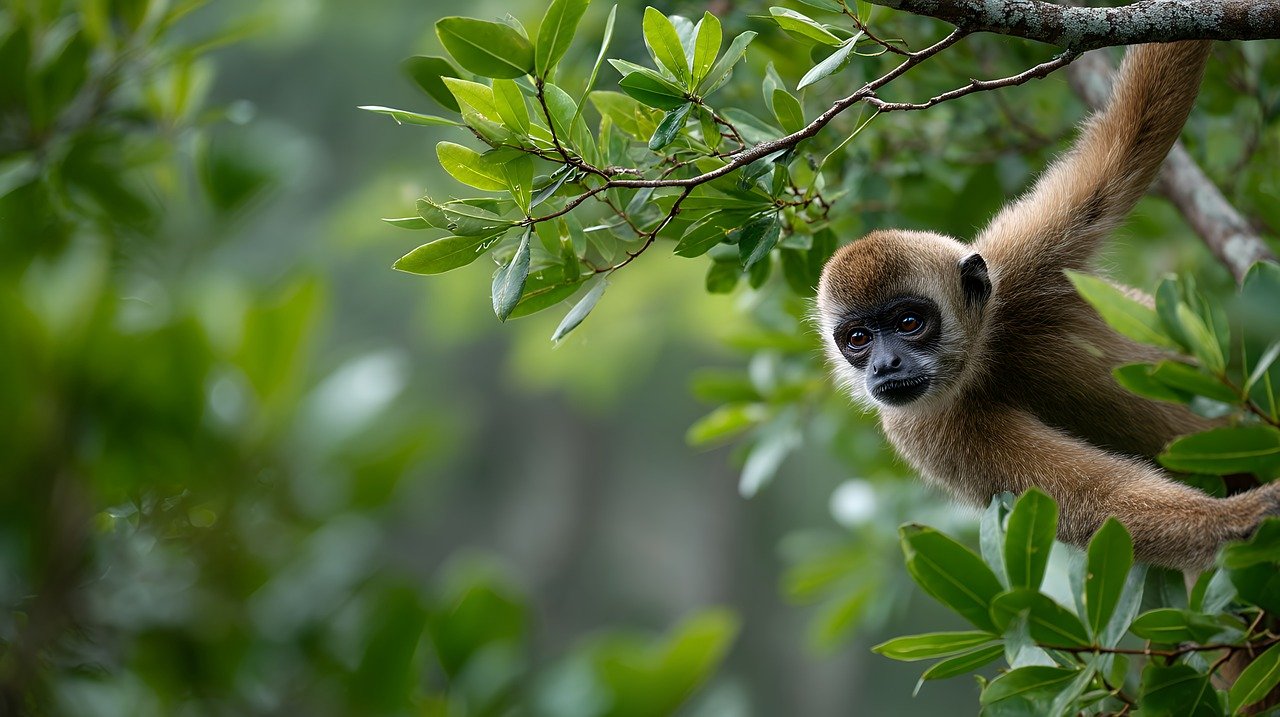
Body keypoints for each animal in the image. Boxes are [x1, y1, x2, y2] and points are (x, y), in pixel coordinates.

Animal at [815, 40, 1280, 571]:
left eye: (909, 322)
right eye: (858, 339)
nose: (885, 365)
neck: (985, 356)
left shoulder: (1022, 257)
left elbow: (1135, 134)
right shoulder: (925, 431)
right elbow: (1100, 501)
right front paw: (1243, 516)